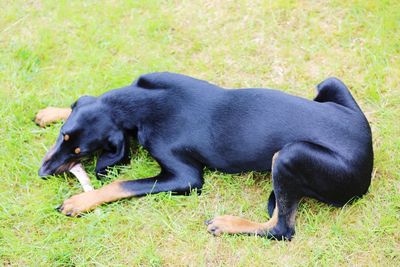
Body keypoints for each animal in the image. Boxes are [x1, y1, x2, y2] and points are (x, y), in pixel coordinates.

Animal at [36, 73, 372, 241]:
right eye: (63, 135)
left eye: (81, 152)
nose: (42, 172)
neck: (143, 103)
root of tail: (368, 158)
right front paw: (49, 112)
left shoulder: (186, 177)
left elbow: (121, 185)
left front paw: (79, 201)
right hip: (329, 84)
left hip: (291, 155)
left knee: (282, 229)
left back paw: (228, 224)